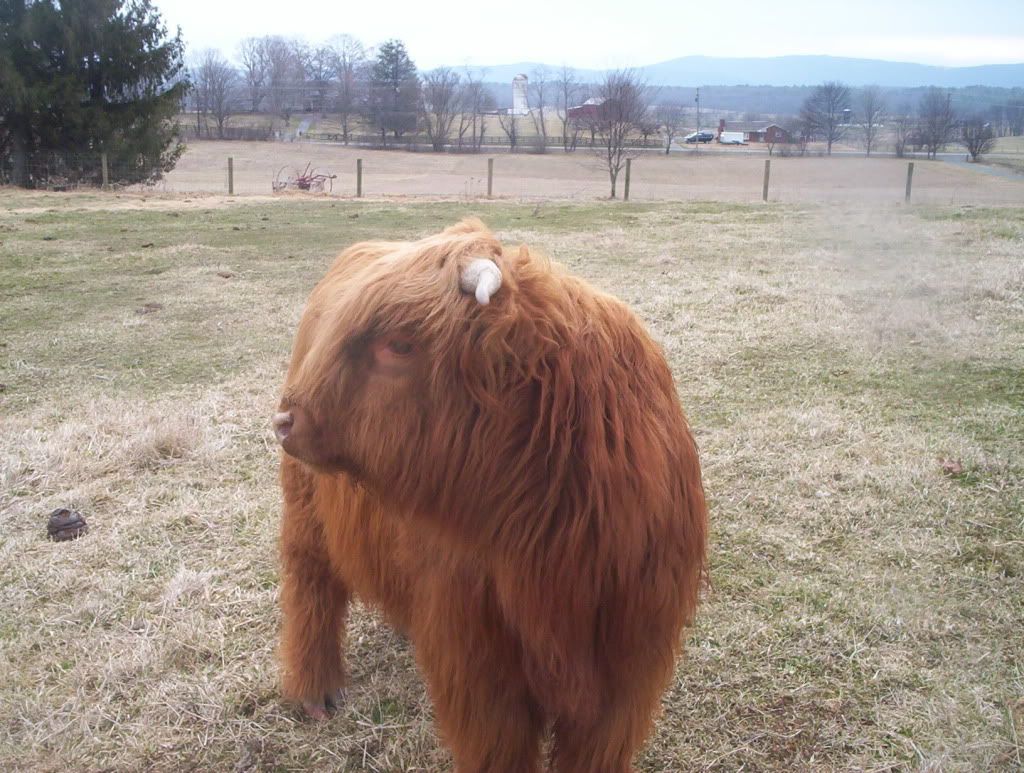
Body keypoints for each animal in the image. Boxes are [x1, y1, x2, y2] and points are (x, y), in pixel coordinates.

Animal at [273, 218, 707, 772]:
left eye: (400, 345)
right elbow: (499, 748)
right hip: (304, 506)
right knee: (310, 584)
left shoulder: (628, 670)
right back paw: (317, 690)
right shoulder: (478, 667)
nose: (286, 420)